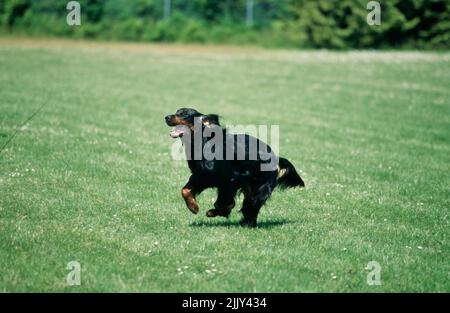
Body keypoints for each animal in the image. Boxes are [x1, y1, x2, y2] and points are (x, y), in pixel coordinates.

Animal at [163, 108, 304, 227]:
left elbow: (226, 202)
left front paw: (216, 211)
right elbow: (185, 190)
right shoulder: (201, 176)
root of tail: (276, 157)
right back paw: (246, 222)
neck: (203, 143)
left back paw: (247, 224)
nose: (167, 117)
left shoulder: (230, 180)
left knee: (253, 204)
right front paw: (193, 207)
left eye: (185, 113)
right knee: (249, 206)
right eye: (177, 111)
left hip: (260, 188)